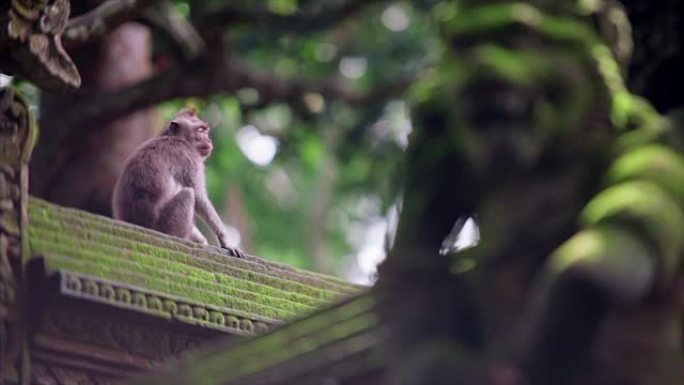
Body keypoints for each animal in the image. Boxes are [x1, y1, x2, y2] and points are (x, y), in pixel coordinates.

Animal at [109, 107, 243, 258]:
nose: (209, 140)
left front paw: (202, 240)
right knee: (188, 193)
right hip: (164, 224)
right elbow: (199, 197)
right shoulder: (189, 158)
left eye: (205, 131)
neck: (176, 138)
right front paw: (226, 242)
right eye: (200, 130)